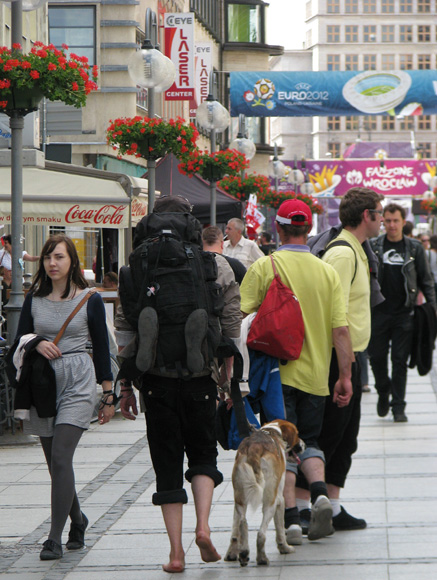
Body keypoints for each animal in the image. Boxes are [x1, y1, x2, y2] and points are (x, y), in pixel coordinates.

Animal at [225, 420, 304, 564]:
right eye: (297, 434)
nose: (304, 444)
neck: (273, 431)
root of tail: (254, 448)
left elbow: (234, 531)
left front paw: (232, 553)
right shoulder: (280, 499)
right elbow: (280, 528)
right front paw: (285, 548)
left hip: (240, 496)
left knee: (242, 523)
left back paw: (243, 552)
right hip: (270, 501)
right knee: (261, 533)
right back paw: (261, 558)